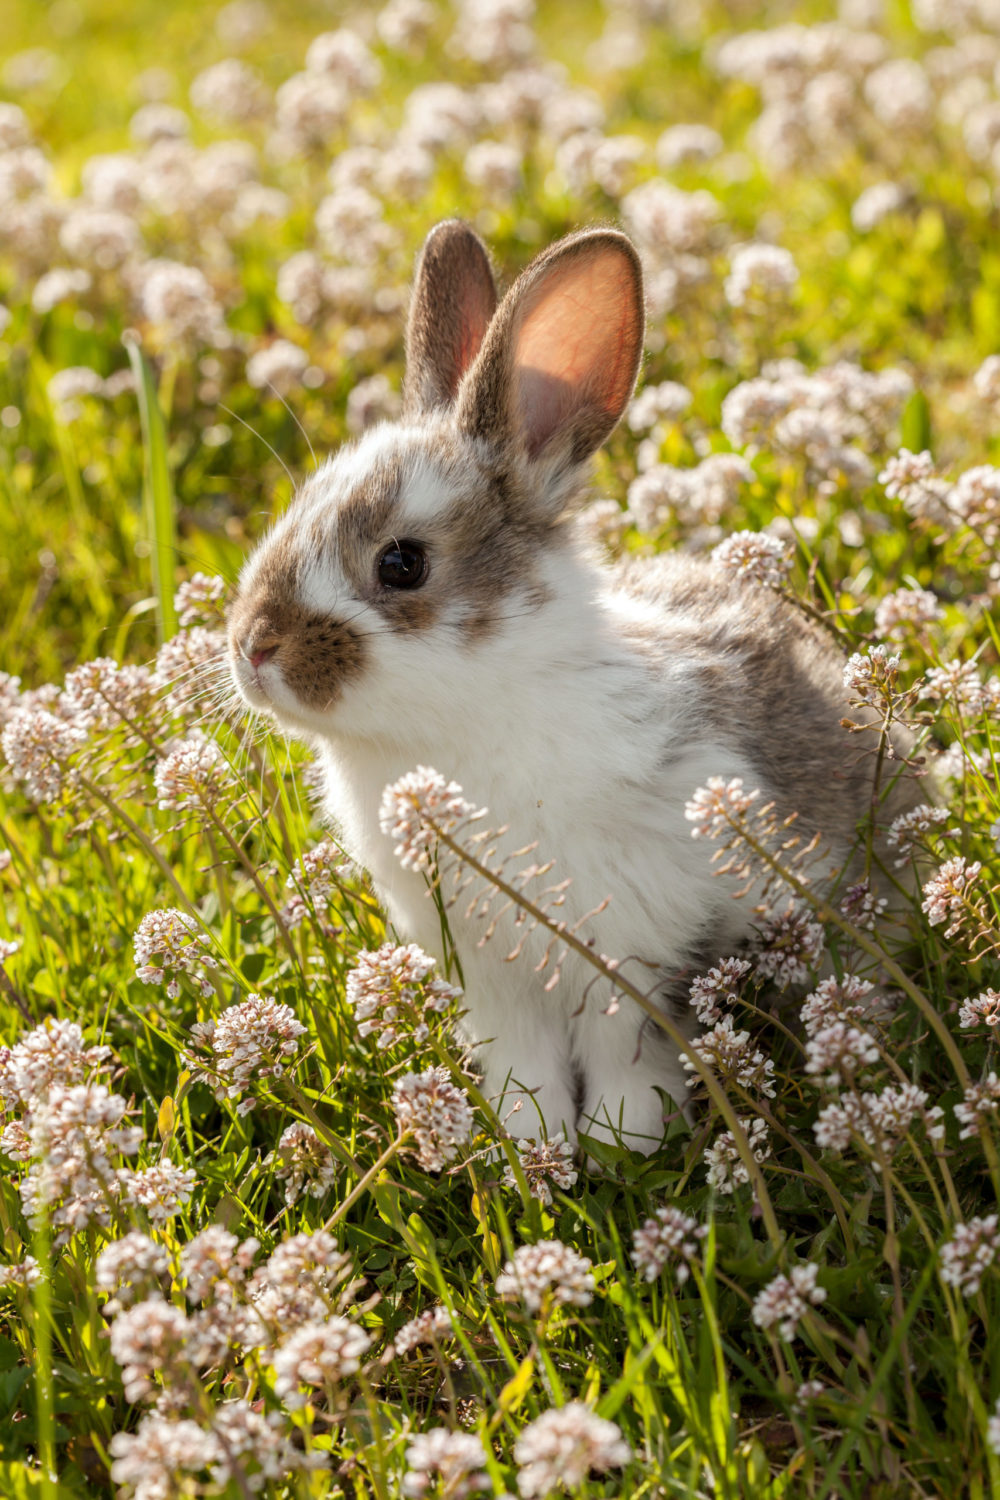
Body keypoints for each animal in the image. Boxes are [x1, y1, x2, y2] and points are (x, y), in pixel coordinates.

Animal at [228, 219, 909, 1152]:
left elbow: (628, 1044)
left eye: (402, 564)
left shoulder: (631, 946)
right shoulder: (491, 977)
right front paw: (529, 1139)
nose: (253, 647)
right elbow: (523, 1057)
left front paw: (626, 1138)